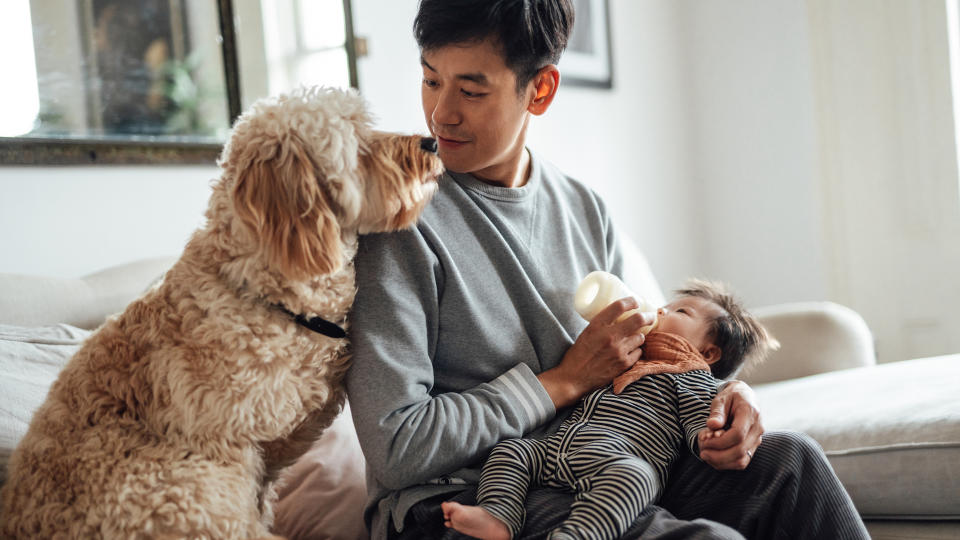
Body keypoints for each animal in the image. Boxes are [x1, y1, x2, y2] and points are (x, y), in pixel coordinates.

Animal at [0, 86, 442, 536]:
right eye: (358, 145)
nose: (431, 142)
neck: (258, 291)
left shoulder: (274, 447)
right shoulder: (227, 445)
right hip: (182, 489)